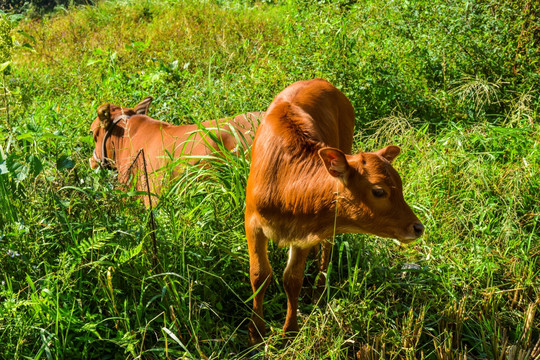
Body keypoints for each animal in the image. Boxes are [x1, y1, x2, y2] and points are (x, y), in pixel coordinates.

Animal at [245, 78, 426, 344]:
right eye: (379, 191)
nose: (418, 227)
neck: (286, 185)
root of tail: (318, 80)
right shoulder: (253, 223)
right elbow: (260, 276)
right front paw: (256, 333)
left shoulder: (303, 232)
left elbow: (292, 279)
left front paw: (290, 331)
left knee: (328, 246)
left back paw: (320, 288)